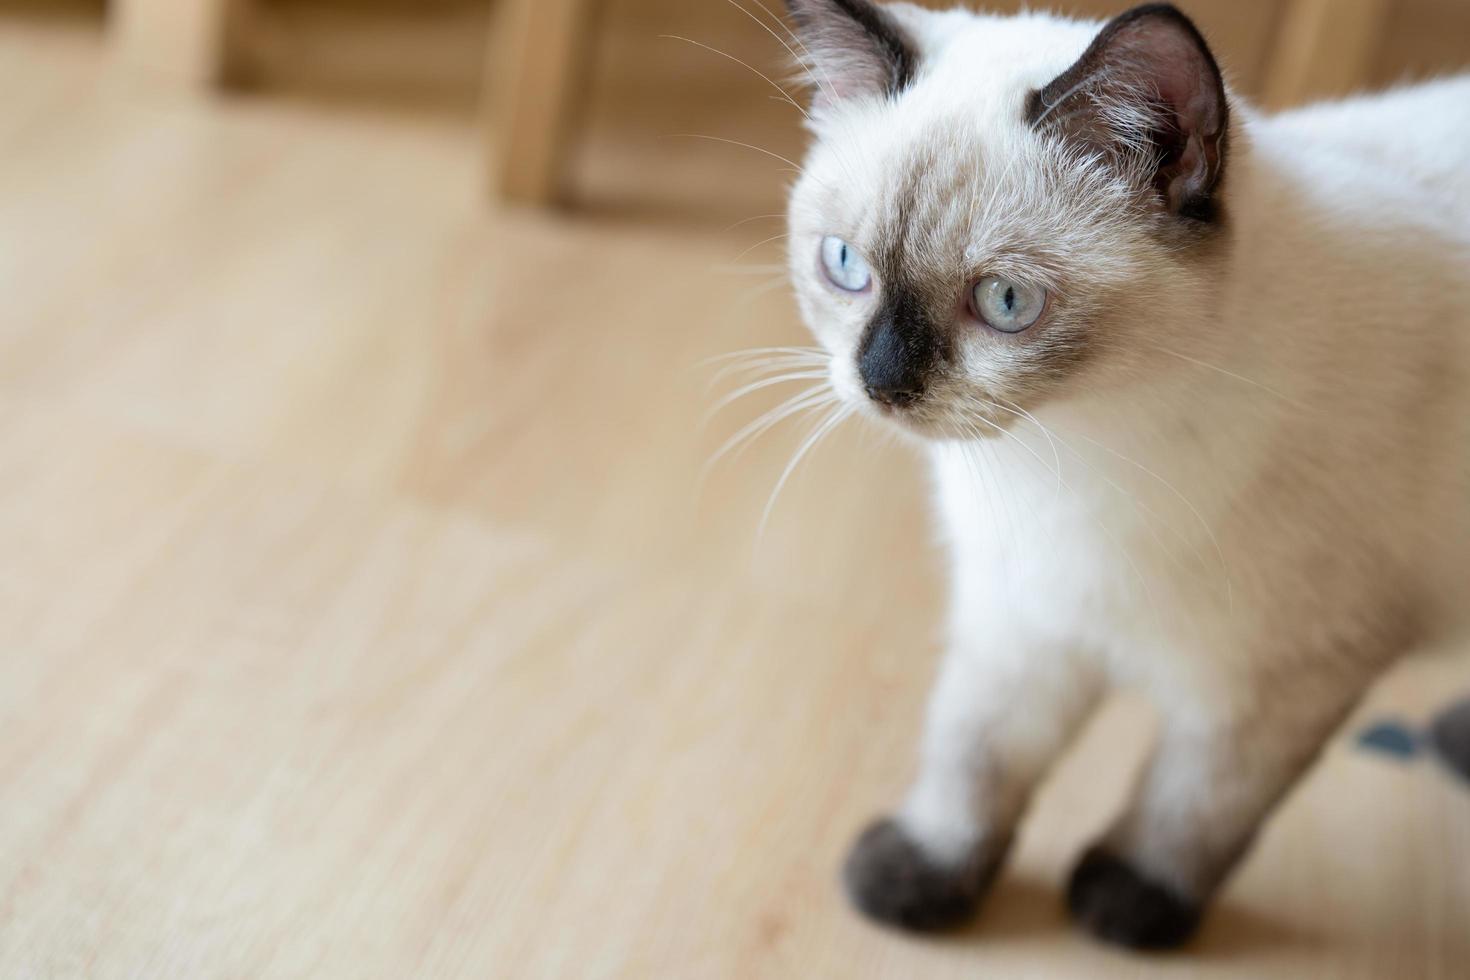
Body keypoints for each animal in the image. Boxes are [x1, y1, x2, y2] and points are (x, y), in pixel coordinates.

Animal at [782, 0, 1470, 952]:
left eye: (1004, 304)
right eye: (845, 265)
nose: (881, 382)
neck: (1066, 450)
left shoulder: (1282, 672)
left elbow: (1197, 803)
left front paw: (1128, 907)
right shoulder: (1023, 613)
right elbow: (975, 752)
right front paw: (921, 879)